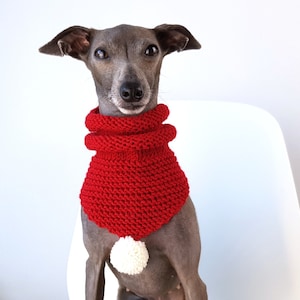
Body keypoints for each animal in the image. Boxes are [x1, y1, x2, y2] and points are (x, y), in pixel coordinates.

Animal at [39, 24, 207, 300]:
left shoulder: (189, 271)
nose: (131, 91)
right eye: (100, 53)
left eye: (151, 49)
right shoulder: (94, 261)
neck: (129, 150)